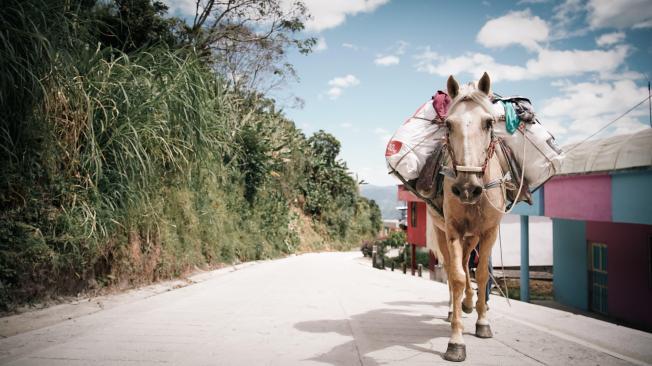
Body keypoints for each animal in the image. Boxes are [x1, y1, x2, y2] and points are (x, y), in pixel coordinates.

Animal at [426, 73, 506, 362]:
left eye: (489, 122)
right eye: (448, 125)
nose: (467, 188)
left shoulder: (489, 231)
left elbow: (481, 275)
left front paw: (483, 322)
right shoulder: (452, 230)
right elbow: (459, 276)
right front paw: (456, 341)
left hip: (472, 237)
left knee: (466, 263)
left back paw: (470, 304)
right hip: (442, 233)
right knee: (453, 270)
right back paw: (455, 309)